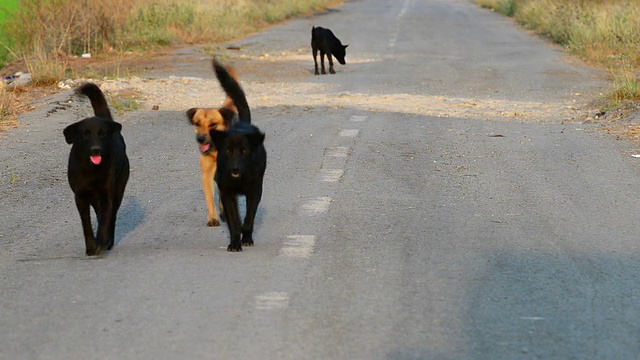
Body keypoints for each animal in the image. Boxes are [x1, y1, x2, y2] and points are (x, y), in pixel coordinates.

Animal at [64, 82, 131, 256]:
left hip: (119, 189)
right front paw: (91, 247)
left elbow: (104, 220)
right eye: (85, 134)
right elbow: (87, 224)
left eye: (102, 134)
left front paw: (101, 242)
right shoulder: (80, 197)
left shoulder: (107, 195)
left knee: (111, 216)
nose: (96, 150)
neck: (91, 170)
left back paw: (109, 241)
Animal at [185, 65, 240, 225]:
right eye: (197, 124)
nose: (200, 138)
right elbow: (210, 198)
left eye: (213, 125)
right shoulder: (207, 173)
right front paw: (213, 218)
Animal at [210, 58, 268, 250]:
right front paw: (235, 243)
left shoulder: (255, 191)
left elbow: (249, 217)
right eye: (228, 151)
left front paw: (246, 235)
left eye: (244, 151)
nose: (234, 169)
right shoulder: (227, 193)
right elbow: (233, 221)